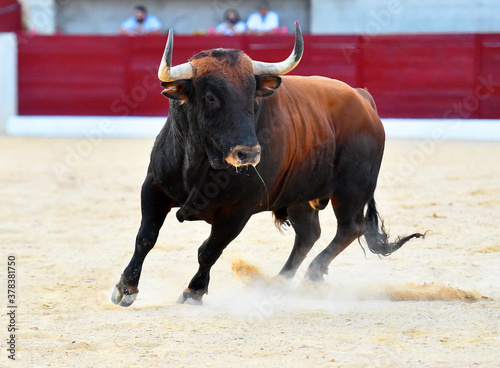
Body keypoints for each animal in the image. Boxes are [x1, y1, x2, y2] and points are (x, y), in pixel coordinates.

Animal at [111, 21, 424, 306]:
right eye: (210, 97)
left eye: (252, 96)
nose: (248, 153)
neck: (201, 161)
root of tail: (363, 99)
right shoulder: (154, 188)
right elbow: (146, 237)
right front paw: (126, 287)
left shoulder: (237, 212)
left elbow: (210, 249)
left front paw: (194, 291)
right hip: (301, 196)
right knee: (309, 234)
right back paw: (278, 282)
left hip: (351, 191)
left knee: (349, 228)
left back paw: (311, 275)